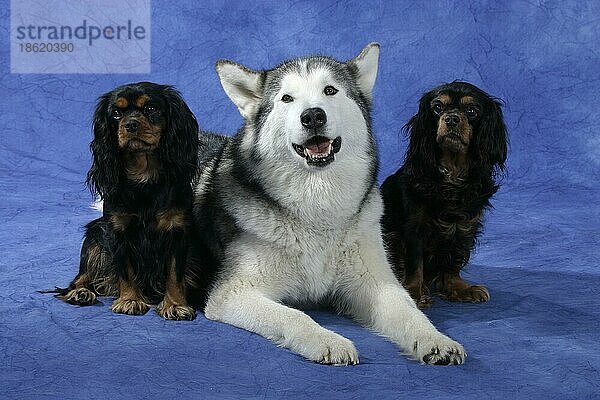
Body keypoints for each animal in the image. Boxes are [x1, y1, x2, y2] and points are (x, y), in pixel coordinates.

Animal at [54, 82, 199, 322]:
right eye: (116, 113)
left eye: (151, 108)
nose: (130, 124)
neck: (144, 176)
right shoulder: (118, 229)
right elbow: (126, 269)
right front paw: (130, 300)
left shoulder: (177, 230)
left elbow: (174, 273)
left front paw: (175, 304)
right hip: (95, 236)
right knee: (80, 278)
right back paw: (81, 293)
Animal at [185, 43, 466, 366]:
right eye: (287, 98)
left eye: (330, 90)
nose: (313, 116)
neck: (317, 206)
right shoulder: (233, 294)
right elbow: (295, 316)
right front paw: (328, 341)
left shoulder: (376, 283)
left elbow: (409, 311)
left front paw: (436, 339)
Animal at [380, 80, 506, 306]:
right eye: (438, 107)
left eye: (471, 110)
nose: (452, 118)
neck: (452, 176)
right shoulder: (414, 228)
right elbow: (415, 263)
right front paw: (414, 293)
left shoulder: (463, 228)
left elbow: (453, 261)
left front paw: (459, 288)